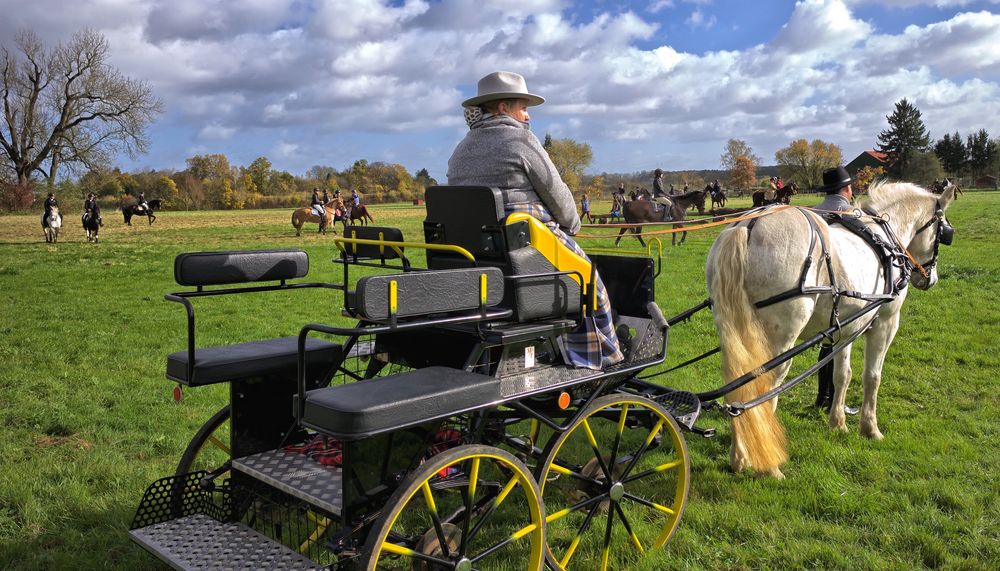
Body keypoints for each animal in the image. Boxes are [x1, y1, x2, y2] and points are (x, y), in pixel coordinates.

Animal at [708, 183, 956, 478]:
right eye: (943, 231)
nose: (930, 279)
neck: (885, 238)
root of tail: (747, 225)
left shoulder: (844, 328)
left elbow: (842, 375)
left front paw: (837, 422)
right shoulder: (886, 322)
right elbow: (872, 376)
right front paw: (870, 428)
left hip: (735, 332)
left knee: (736, 387)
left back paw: (739, 457)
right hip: (779, 340)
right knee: (761, 388)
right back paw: (769, 465)